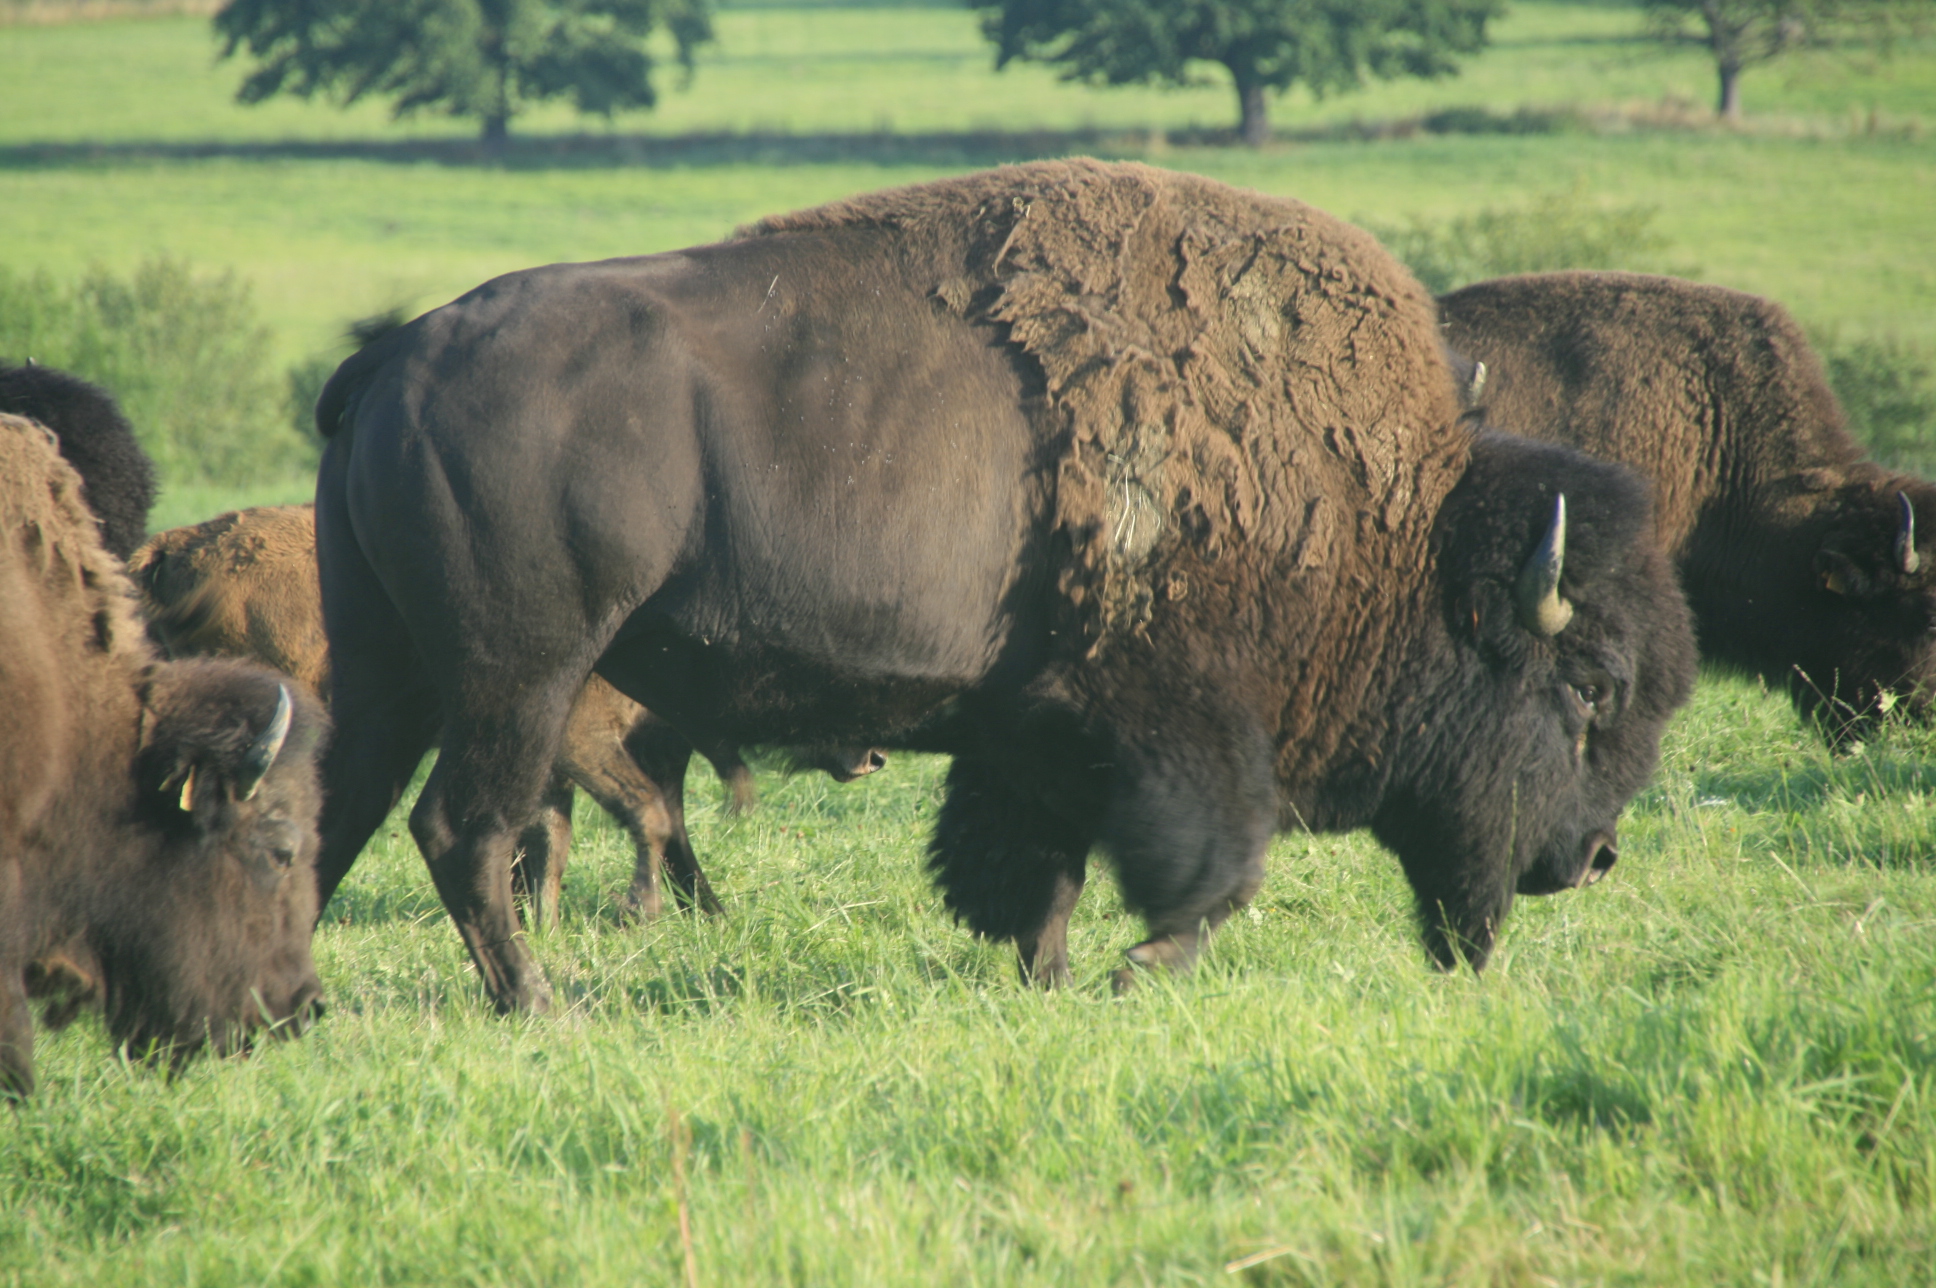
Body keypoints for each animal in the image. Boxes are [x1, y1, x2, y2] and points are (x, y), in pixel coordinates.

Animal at [122, 503, 878, 925]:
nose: (874, 756)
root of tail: (175, 548)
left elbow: (549, 838)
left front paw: (543, 920)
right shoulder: (579, 741)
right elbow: (638, 817)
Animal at [305, 157, 1695, 1007]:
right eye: (1589, 686)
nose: (1592, 857)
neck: (1389, 524)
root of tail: (395, 359)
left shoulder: (1037, 731)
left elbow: (1035, 866)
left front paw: (1048, 974)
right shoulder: (1181, 733)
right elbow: (1213, 873)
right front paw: (1134, 969)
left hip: (389, 670)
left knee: (333, 816)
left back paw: (287, 1006)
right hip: (519, 674)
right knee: (460, 829)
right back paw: (540, 1008)